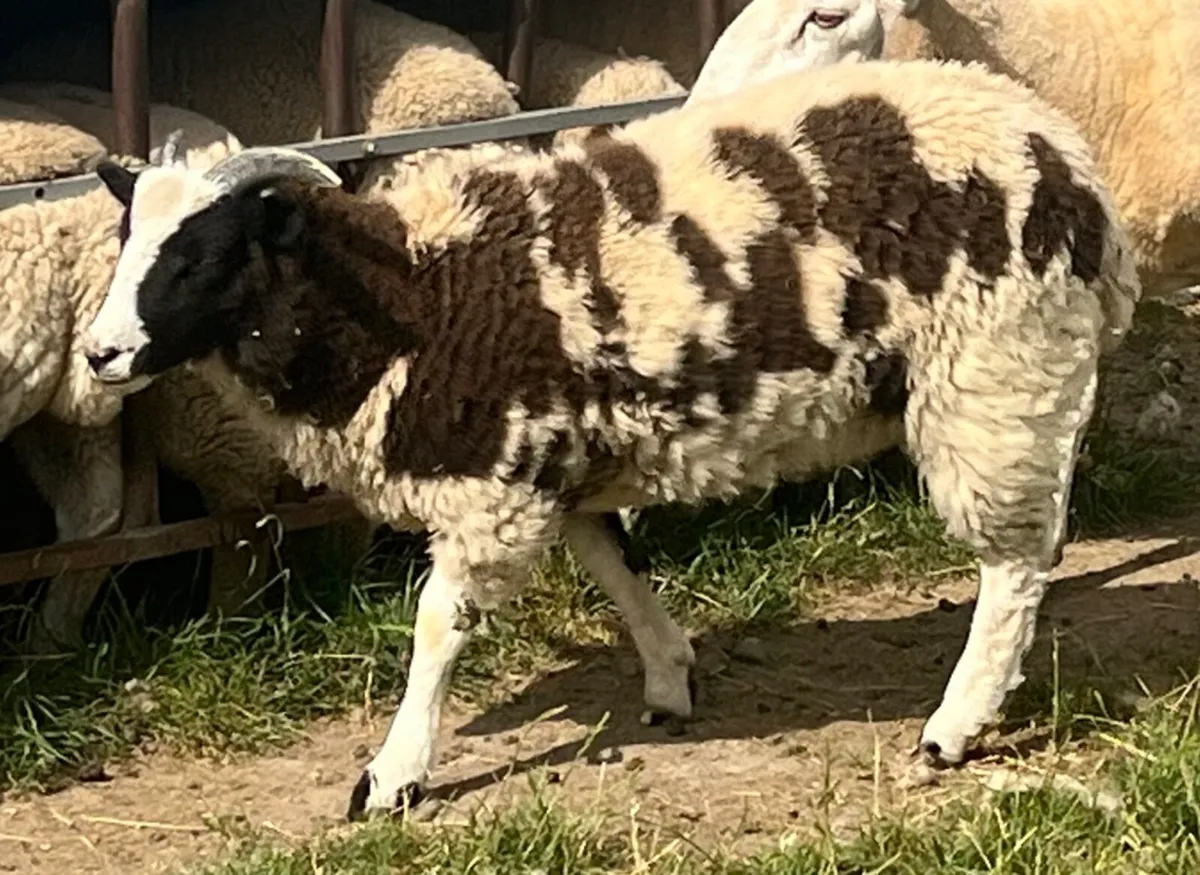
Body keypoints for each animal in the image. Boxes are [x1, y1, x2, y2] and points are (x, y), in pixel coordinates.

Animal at [80, 57, 1140, 818]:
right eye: (129, 240)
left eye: (202, 253)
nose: (100, 354)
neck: (415, 294)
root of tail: (1066, 154)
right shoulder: (562, 463)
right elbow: (616, 570)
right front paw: (671, 680)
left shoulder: (492, 484)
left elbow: (437, 628)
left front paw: (392, 775)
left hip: (995, 373)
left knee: (1015, 565)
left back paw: (952, 725)